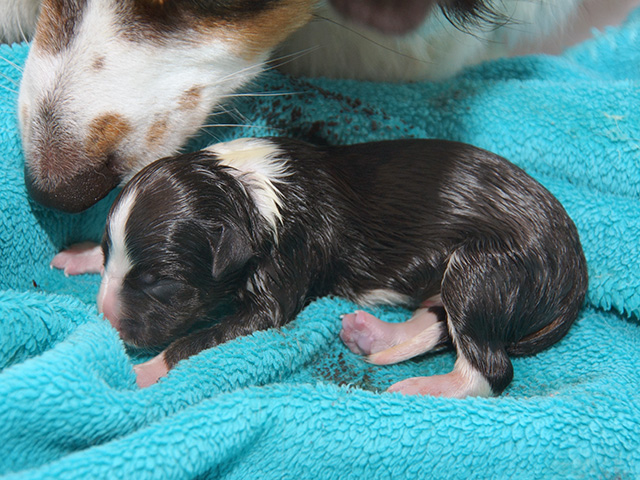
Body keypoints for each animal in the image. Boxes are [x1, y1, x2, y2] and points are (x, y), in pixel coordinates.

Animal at [51, 137, 588, 394]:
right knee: (438, 321)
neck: (244, 193)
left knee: (488, 367)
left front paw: (144, 371)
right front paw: (80, 253)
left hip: (482, 270)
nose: (106, 318)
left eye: (159, 281)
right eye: (110, 256)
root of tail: (574, 272)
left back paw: (422, 387)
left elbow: (194, 341)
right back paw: (374, 335)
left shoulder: (282, 279)